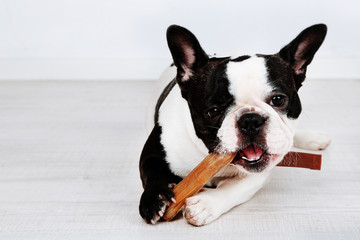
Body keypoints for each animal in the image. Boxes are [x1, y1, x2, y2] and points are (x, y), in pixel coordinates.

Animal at [139, 24, 330, 227]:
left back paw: (314, 138)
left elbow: (234, 188)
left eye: (278, 100)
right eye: (213, 111)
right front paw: (154, 198)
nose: (251, 120)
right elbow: (151, 172)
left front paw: (206, 204)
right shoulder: (154, 151)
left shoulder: (261, 171)